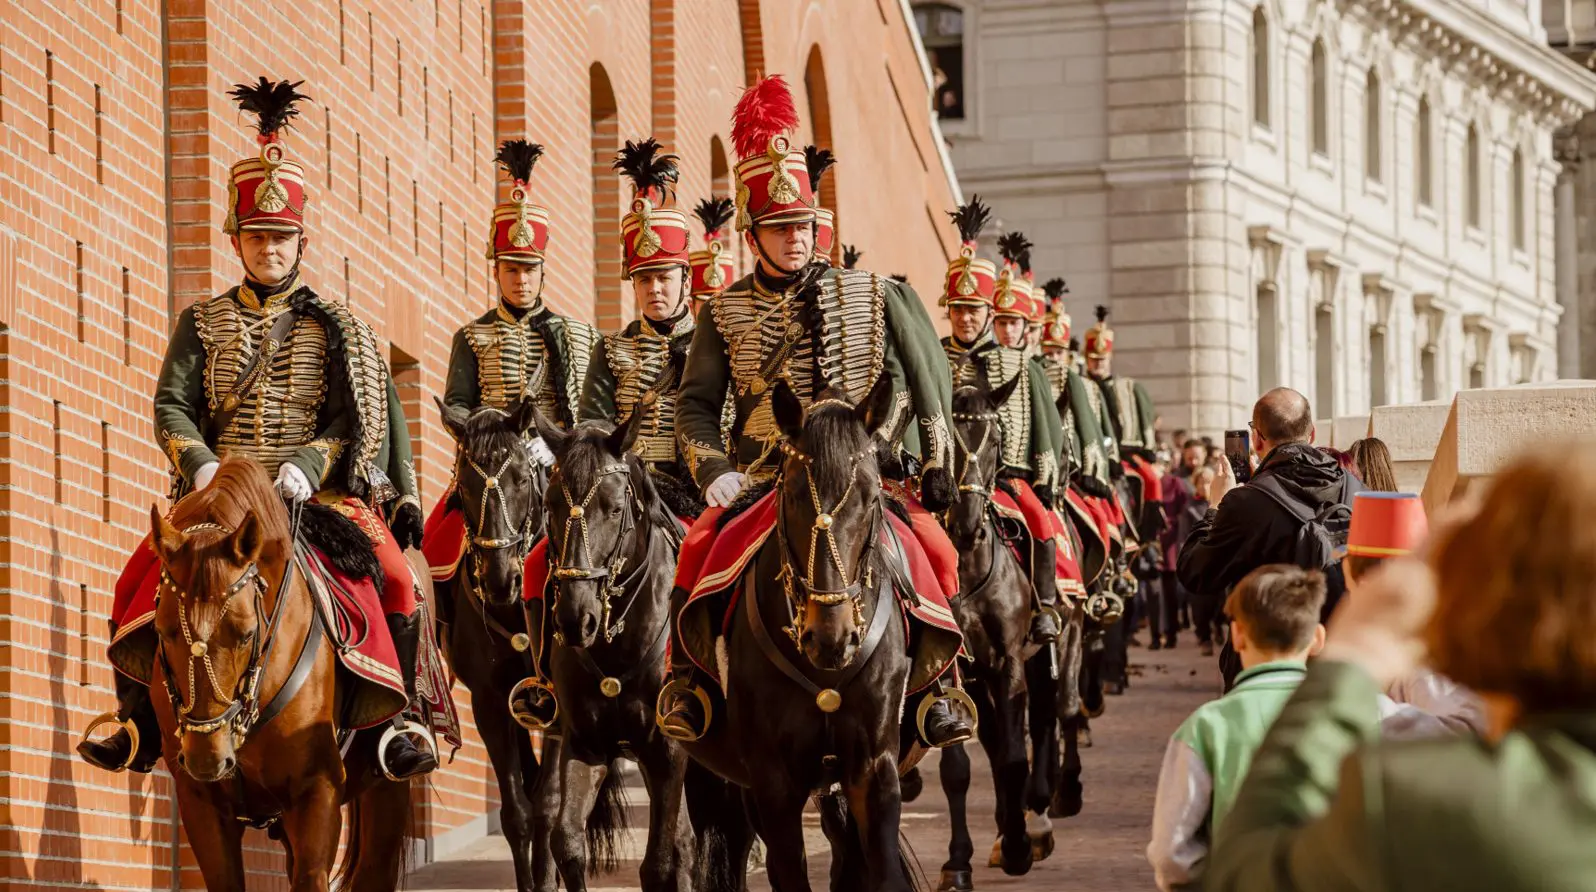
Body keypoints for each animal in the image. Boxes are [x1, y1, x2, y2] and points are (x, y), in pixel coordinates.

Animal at [144, 459, 414, 892]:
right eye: (162, 630)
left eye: (246, 633)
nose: (207, 757)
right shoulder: (201, 801)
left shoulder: (315, 791)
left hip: (386, 794)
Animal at [434, 402, 564, 892]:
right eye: (464, 486)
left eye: (523, 480)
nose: (500, 579)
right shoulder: (491, 702)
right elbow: (518, 813)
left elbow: (549, 805)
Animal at [536, 406, 692, 892]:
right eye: (550, 505)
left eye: (616, 508)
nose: (575, 617)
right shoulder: (584, 744)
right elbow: (567, 843)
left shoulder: (667, 751)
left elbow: (658, 862)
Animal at [683, 376, 925, 892]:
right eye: (791, 494)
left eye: (872, 497)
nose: (830, 637)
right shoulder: (772, 780)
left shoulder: (873, 769)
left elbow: (881, 871)